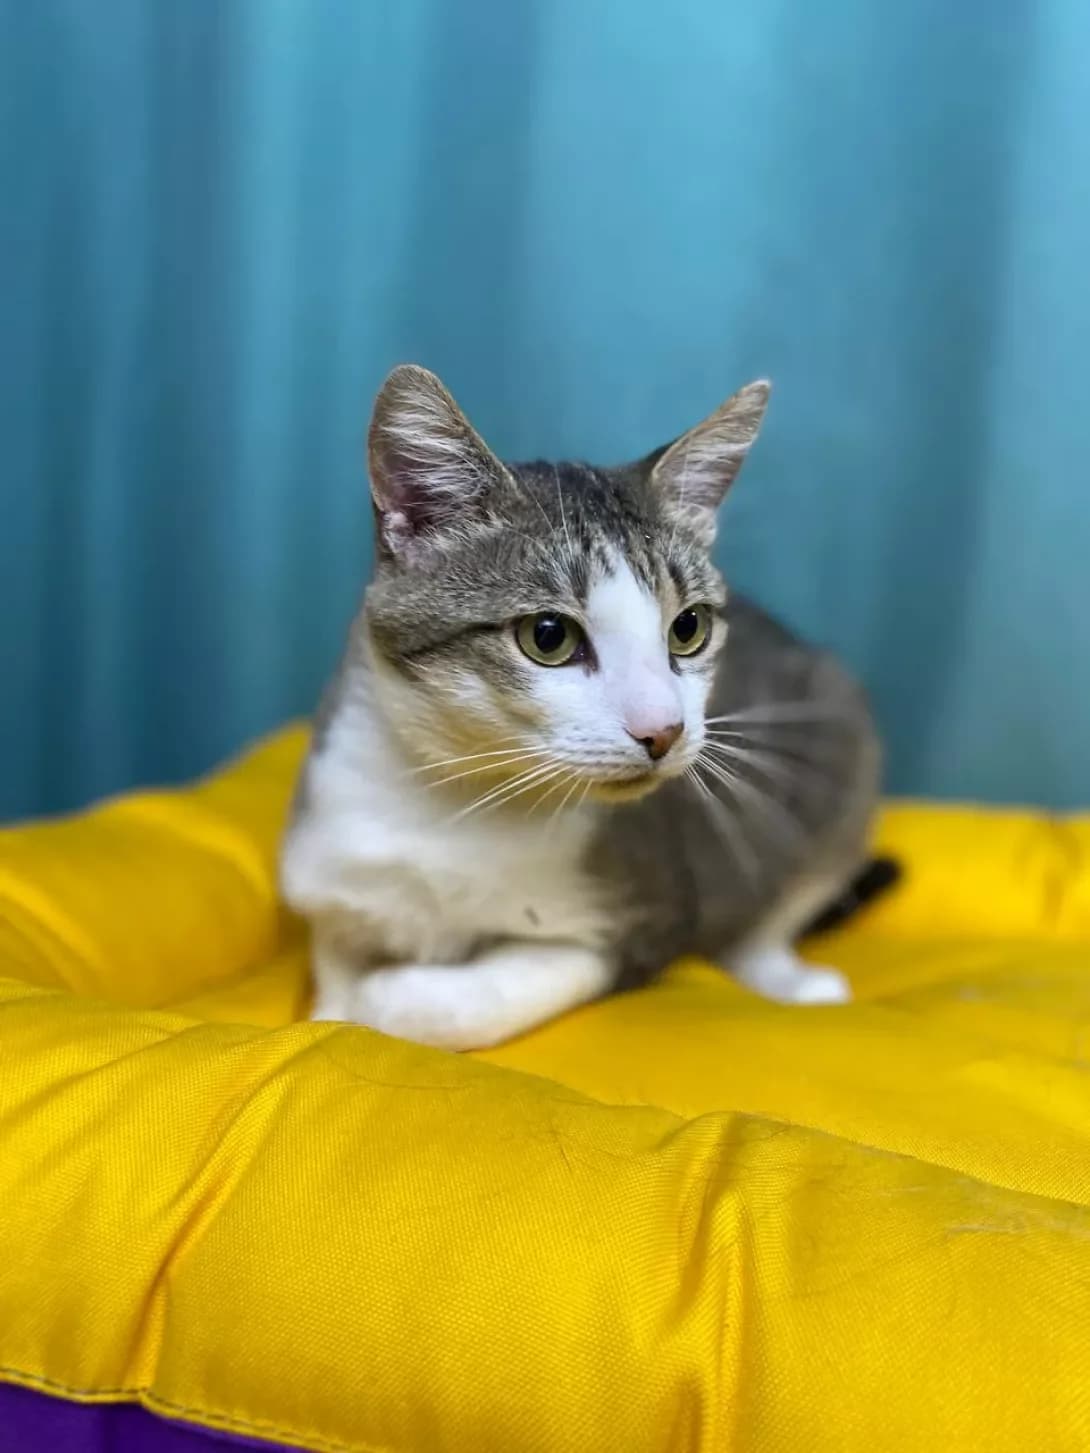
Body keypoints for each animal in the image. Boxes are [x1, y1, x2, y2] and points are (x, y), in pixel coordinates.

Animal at [280, 365, 883, 1050]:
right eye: (549, 636)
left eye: (689, 628)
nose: (663, 730)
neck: (456, 799)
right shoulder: (329, 866)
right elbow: (334, 959)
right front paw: (337, 1004)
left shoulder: (647, 918)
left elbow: (481, 993)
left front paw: (390, 998)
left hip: (840, 728)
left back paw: (790, 978)